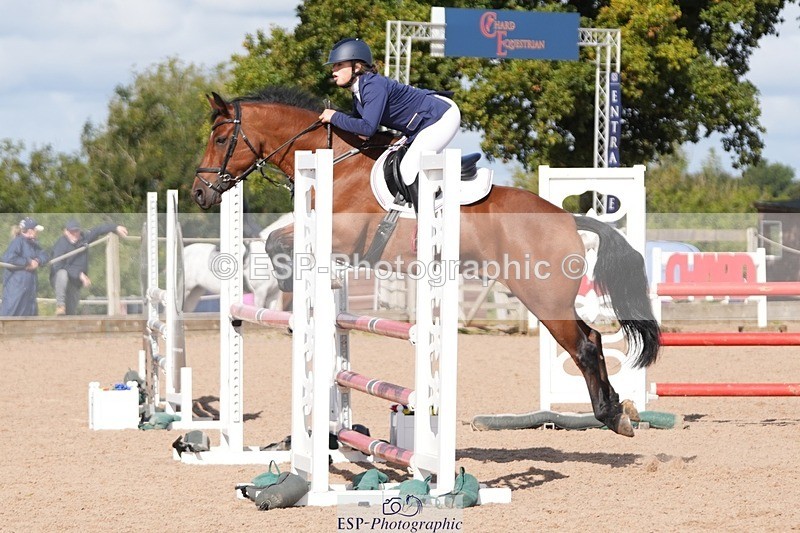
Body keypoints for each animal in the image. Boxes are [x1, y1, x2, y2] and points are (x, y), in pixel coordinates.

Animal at [191, 87, 661, 437]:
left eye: (220, 140)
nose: (199, 193)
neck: (337, 164)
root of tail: (567, 217)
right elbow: (278, 241)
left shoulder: (345, 238)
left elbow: (276, 241)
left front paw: (290, 291)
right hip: (547, 298)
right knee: (592, 338)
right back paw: (619, 410)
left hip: (543, 299)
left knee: (585, 345)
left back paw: (612, 416)